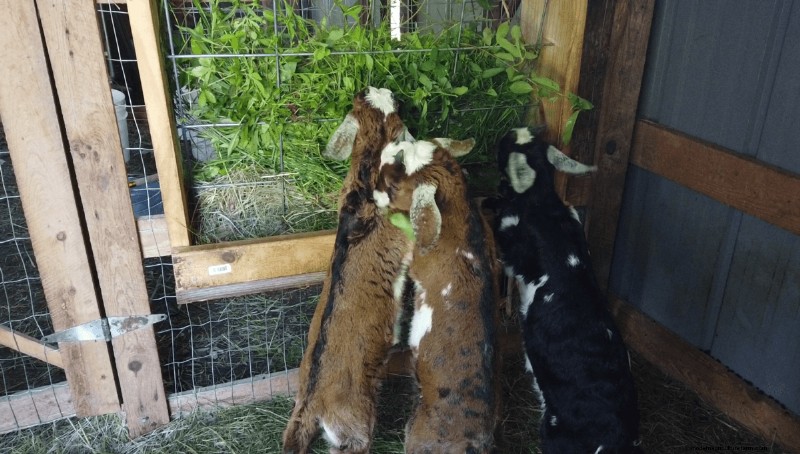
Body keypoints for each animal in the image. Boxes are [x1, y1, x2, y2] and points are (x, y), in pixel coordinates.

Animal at [491, 127, 642, 453]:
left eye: (507, 145)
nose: (506, 132)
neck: (545, 206)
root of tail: (614, 435)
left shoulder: (513, 245)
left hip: (556, 432)